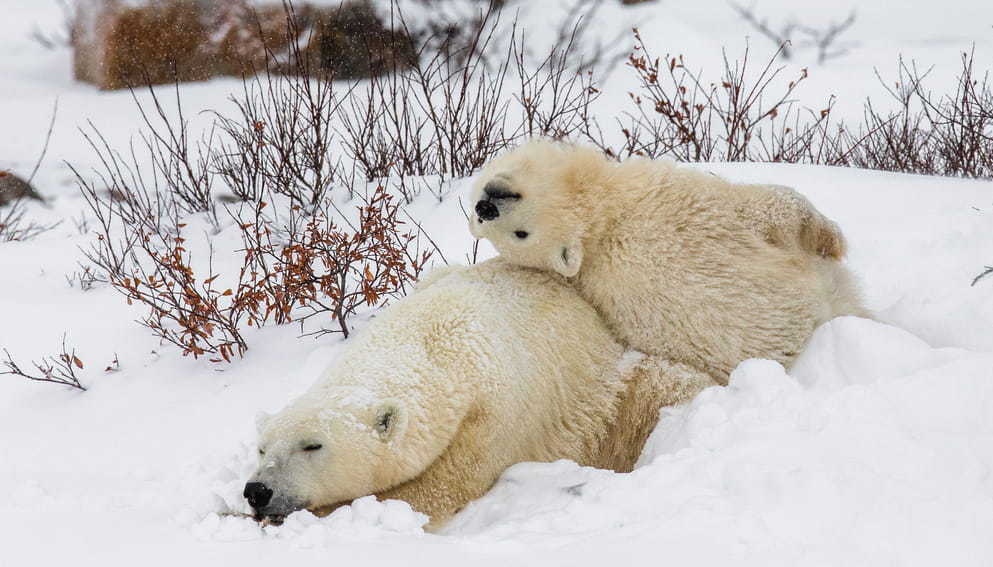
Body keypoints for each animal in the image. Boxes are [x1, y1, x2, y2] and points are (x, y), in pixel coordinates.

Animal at [245, 259, 716, 530]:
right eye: (262, 448)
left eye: (312, 445)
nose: (257, 491)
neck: (436, 342)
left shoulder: (492, 417)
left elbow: (434, 492)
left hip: (612, 392)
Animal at [468, 138, 866, 383]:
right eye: (520, 235)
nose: (485, 207)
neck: (604, 224)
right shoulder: (677, 196)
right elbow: (770, 204)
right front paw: (833, 239)